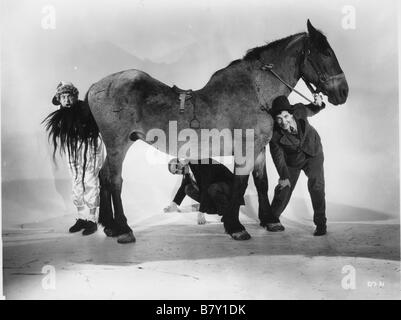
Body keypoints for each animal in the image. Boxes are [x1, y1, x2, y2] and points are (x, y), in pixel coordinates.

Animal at [86, 20, 348, 244]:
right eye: (325, 52)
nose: (343, 92)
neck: (256, 91)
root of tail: (97, 86)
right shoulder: (244, 150)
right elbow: (240, 184)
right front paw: (235, 226)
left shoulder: (259, 149)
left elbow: (261, 182)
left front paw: (269, 221)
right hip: (118, 144)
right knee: (114, 180)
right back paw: (124, 229)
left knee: (103, 176)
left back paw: (110, 226)